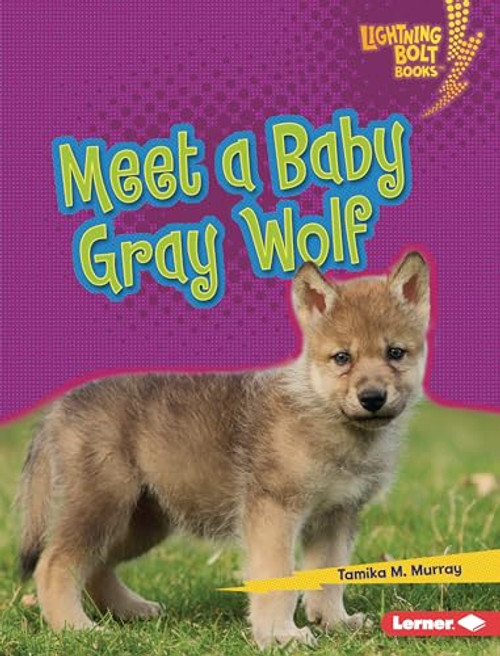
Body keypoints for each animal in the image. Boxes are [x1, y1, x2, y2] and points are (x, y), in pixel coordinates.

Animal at [17, 251, 430, 648]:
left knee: (96, 566)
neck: (323, 414)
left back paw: (129, 610)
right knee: (55, 564)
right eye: (343, 357)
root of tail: (59, 408)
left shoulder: (336, 515)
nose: (372, 398)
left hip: (143, 520)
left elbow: (330, 576)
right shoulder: (274, 510)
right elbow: (278, 578)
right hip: (103, 504)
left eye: (395, 353)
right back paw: (75, 628)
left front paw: (334, 622)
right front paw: (281, 635)